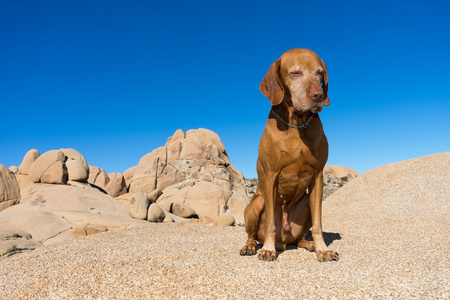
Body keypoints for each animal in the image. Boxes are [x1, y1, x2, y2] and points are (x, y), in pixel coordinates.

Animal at [241, 48, 340, 262]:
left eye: (319, 73)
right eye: (295, 73)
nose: (318, 95)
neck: (297, 124)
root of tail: (284, 242)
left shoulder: (318, 176)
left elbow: (318, 224)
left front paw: (323, 249)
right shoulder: (271, 175)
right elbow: (271, 222)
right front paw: (267, 250)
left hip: (306, 204)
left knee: (300, 238)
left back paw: (309, 244)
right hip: (256, 204)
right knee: (252, 234)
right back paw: (251, 247)